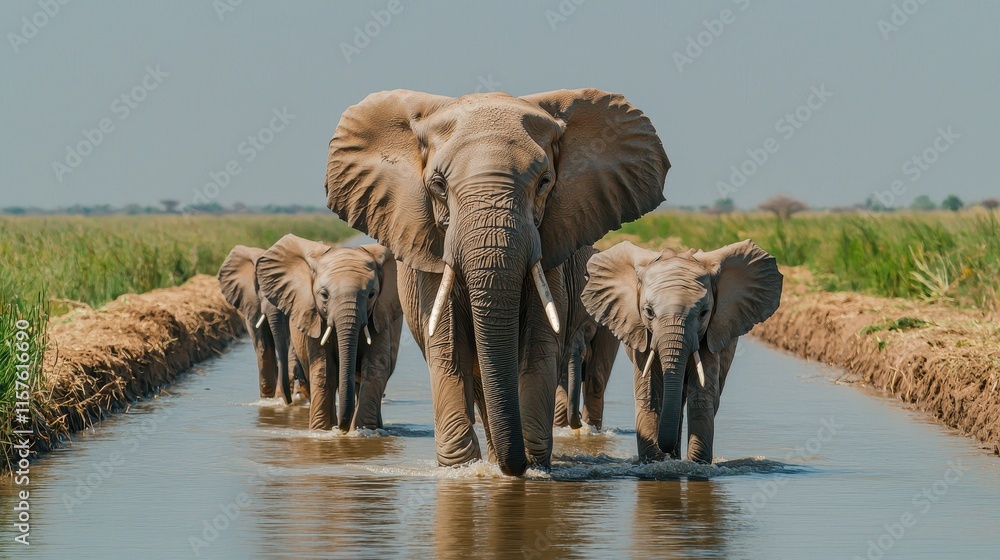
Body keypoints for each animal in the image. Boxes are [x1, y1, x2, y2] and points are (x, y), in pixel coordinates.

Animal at [218, 245, 306, 404]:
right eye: (260, 287)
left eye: (285, 288)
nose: (288, 401)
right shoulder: (252, 304)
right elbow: (264, 346)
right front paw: (272, 398)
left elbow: (293, 342)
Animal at [255, 234, 403, 432]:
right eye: (324, 295)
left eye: (372, 294)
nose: (341, 428)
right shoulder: (313, 317)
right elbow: (324, 368)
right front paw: (322, 431)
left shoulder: (380, 314)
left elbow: (375, 366)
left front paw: (366, 432)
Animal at [581, 239, 782, 463]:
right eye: (648, 312)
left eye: (703, 313)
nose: (665, 450)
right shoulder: (641, 332)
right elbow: (649, 391)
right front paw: (654, 461)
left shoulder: (709, 333)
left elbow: (701, 395)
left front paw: (697, 464)